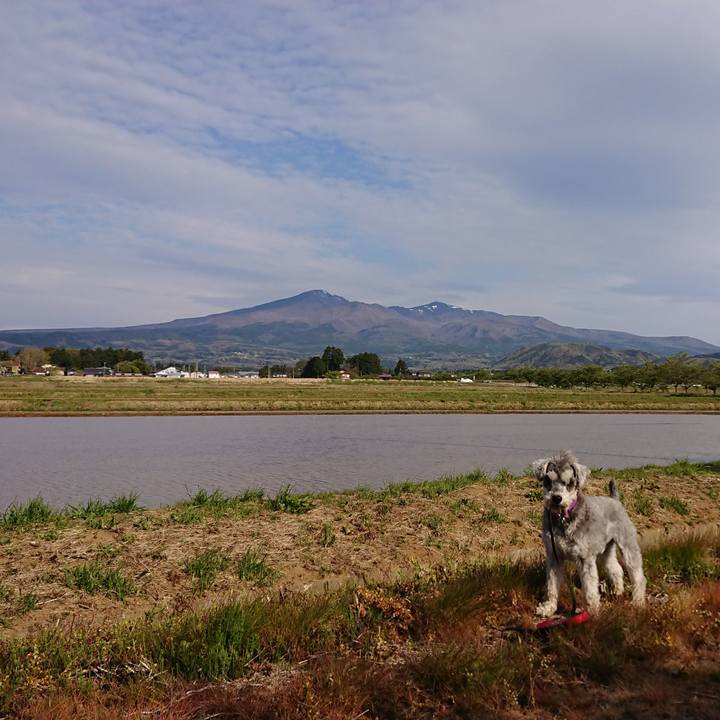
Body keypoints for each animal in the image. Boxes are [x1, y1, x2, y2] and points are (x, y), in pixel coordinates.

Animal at [533, 450, 646, 616]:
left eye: (569, 483)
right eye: (548, 480)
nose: (556, 498)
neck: (563, 517)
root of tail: (615, 500)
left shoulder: (584, 558)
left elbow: (590, 588)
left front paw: (592, 611)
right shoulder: (554, 557)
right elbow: (552, 586)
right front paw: (548, 608)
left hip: (627, 546)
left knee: (638, 575)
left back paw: (638, 601)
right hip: (606, 550)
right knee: (616, 568)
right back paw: (618, 592)